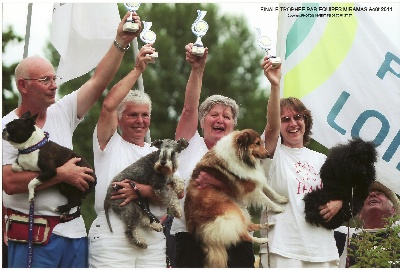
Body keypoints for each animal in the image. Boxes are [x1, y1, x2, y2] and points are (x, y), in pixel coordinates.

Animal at [184, 129, 288, 268]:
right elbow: (266, 198)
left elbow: (270, 191)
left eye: (262, 142)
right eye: (257, 143)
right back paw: (262, 239)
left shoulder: (254, 179)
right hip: (230, 211)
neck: (240, 156)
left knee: (248, 226)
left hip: (238, 209)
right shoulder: (250, 187)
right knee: (242, 235)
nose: (268, 154)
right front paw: (278, 208)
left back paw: (268, 225)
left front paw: (281, 199)